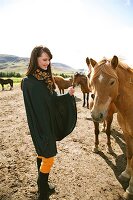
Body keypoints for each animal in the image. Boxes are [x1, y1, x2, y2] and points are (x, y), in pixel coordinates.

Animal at [89, 55, 133, 199]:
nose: (96, 114)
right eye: (91, 80)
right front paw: (126, 174)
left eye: (112, 82)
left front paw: (130, 189)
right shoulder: (127, 133)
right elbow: (130, 154)